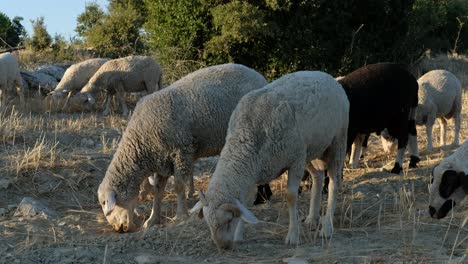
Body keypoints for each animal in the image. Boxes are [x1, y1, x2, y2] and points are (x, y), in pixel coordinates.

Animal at [96, 63, 266, 232]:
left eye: (106, 203)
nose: (119, 228)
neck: (141, 141)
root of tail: (256, 74)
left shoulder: (180, 153)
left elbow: (178, 187)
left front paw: (180, 216)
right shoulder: (161, 161)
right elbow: (158, 191)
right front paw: (152, 220)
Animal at [189, 70, 348, 248]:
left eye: (229, 220)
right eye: (208, 223)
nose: (224, 247)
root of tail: (327, 76)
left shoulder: (296, 159)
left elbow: (291, 196)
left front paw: (293, 235)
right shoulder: (256, 170)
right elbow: (246, 202)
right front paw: (239, 235)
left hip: (337, 140)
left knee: (334, 182)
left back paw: (327, 228)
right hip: (312, 149)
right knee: (318, 176)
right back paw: (312, 218)